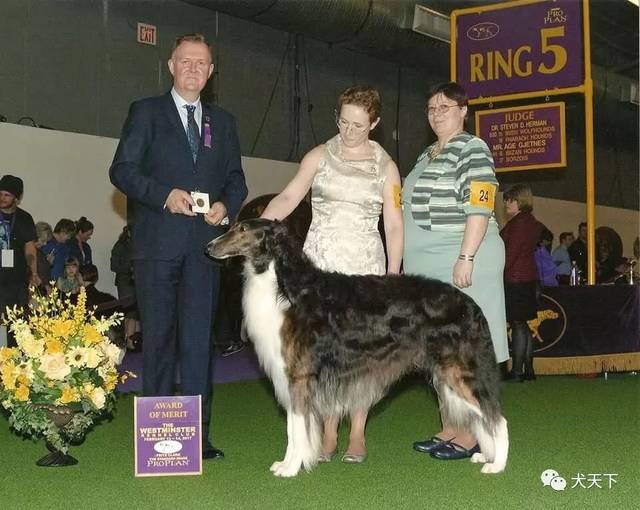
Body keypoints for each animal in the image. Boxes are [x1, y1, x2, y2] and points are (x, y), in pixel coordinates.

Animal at [208, 220, 508, 478]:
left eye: (243, 229)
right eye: (232, 226)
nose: (209, 248)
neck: (285, 288)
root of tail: (471, 304)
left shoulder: (299, 377)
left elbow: (297, 429)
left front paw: (291, 467)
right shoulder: (293, 379)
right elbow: (295, 430)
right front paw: (289, 463)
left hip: (461, 373)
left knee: (498, 419)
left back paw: (498, 465)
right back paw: (486, 455)